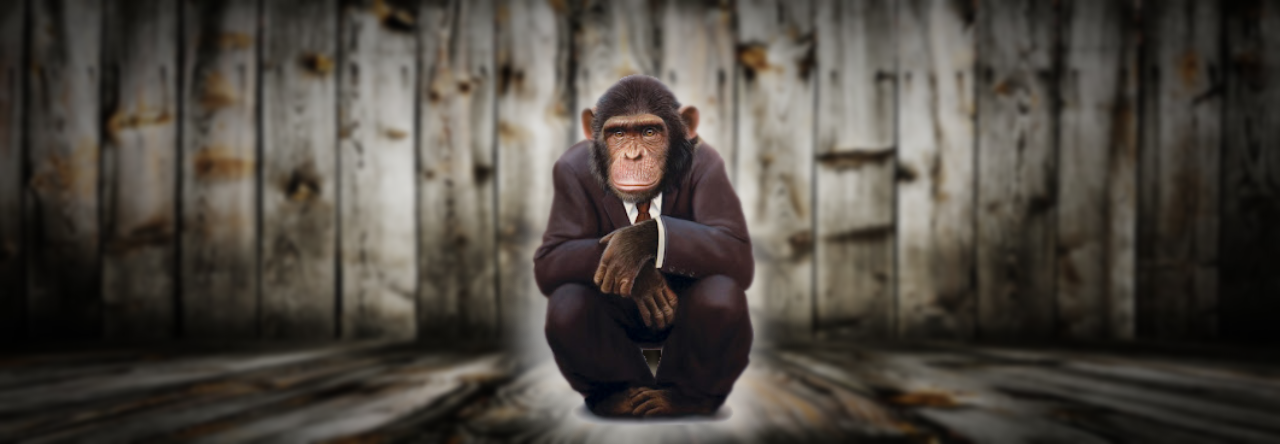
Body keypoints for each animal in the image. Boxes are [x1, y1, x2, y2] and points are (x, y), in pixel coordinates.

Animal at [535, 75, 754, 418]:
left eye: (650, 132)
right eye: (619, 134)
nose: (633, 155)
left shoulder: (712, 167)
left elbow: (734, 246)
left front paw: (632, 243)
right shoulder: (565, 174)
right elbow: (553, 255)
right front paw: (646, 280)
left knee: (720, 294)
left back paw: (682, 399)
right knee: (568, 303)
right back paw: (618, 396)